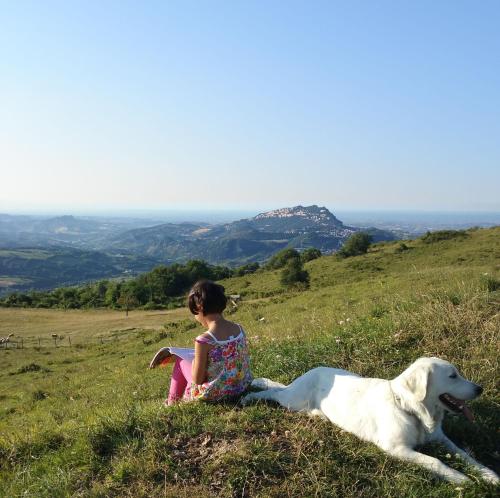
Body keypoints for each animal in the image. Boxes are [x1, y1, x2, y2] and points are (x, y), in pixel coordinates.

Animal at [241, 356, 496, 484]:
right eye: (453, 376)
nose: (480, 389)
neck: (411, 410)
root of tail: (311, 371)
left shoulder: (441, 439)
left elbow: (467, 456)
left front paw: (489, 476)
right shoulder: (395, 448)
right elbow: (435, 461)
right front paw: (460, 478)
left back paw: (319, 415)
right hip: (293, 399)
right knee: (274, 392)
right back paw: (250, 396)